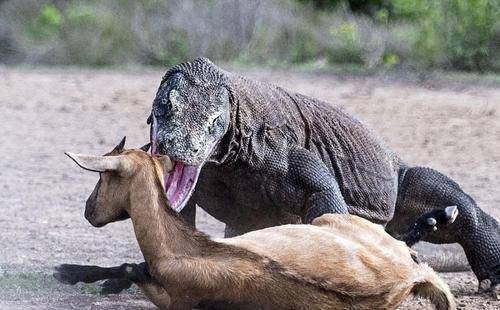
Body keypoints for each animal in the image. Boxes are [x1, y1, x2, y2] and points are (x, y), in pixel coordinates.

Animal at [59, 139, 458, 308]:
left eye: (103, 176)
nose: (89, 210)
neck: (184, 250)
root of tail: (410, 276)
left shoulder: (174, 299)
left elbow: (130, 266)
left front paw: (69, 272)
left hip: (329, 217)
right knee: (406, 240)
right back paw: (439, 216)